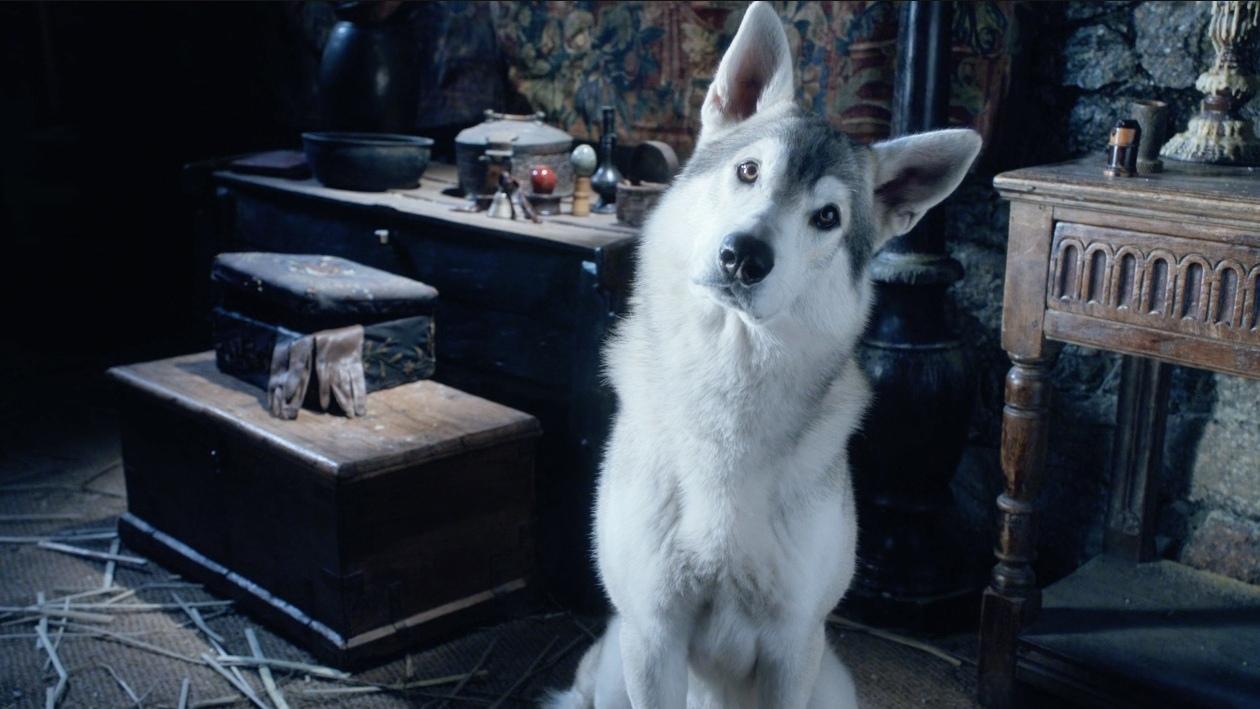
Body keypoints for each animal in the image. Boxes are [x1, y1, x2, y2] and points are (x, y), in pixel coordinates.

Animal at [546, 3, 980, 708]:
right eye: (749, 171)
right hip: (613, 672)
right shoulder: (651, 633)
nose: (743, 256)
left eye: (827, 217)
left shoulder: (791, 644)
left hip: (829, 682)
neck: (727, 382)